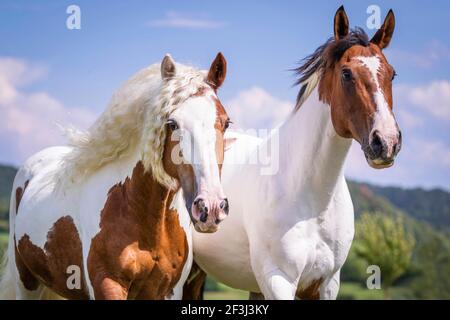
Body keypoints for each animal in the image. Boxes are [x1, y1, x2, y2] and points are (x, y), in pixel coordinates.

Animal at [0, 53, 232, 300]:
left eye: (226, 122)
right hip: (26, 282)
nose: (210, 207)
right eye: (172, 123)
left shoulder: (168, 290)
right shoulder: (107, 284)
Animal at [185, 6, 402, 300]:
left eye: (392, 74)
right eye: (347, 74)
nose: (386, 142)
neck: (312, 198)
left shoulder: (326, 283)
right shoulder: (279, 280)